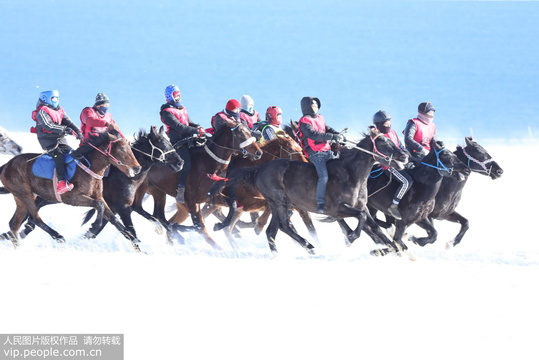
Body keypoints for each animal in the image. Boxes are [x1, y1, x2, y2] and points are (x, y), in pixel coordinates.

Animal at [0, 130, 141, 250]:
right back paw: (58, 236)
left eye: (130, 148)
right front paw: (94, 227)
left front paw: (135, 241)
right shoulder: (73, 198)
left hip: (20, 198)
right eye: (122, 149)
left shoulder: (99, 196)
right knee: (35, 219)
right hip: (25, 193)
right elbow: (98, 206)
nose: (137, 168)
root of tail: (6, 165)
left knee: (14, 224)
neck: (89, 167)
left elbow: (113, 218)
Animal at [131, 119, 262, 249]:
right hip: (142, 187)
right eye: (240, 133)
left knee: (159, 214)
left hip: (158, 191)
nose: (258, 152)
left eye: (248, 131)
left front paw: (219, 226)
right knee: (137, 207)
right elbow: (199, 226)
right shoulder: (192, 201)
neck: (209, 164)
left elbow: (233, 204)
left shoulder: (211, 196)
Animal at [211, 128, 410, 255]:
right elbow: (360, 220)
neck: (352, 175)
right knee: (283, 227)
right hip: (280, 201)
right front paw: (351, 238)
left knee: (272, 231)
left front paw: (392, 248)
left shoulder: (363, 207)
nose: (404, 155)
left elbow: (375, 227)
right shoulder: (337, 209)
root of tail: (260, 168)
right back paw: (310, 246)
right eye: (383, 142)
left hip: (277, 204)